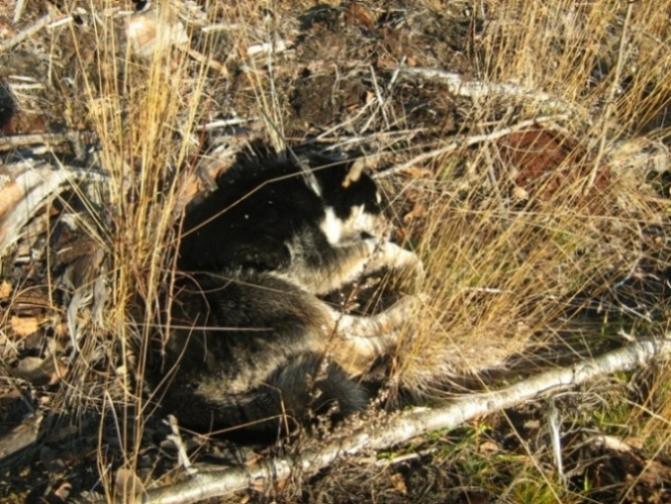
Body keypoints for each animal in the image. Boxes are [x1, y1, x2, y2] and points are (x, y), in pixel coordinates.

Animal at [152, 146, 424, 436]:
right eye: (375, 204)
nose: (390, 228)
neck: (318, 191)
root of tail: (173, 385)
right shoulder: (314, 262)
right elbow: (371, 247)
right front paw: (410, 261)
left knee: (345, 327)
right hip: (275, 295)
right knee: (354, 351)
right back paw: (407, 319)